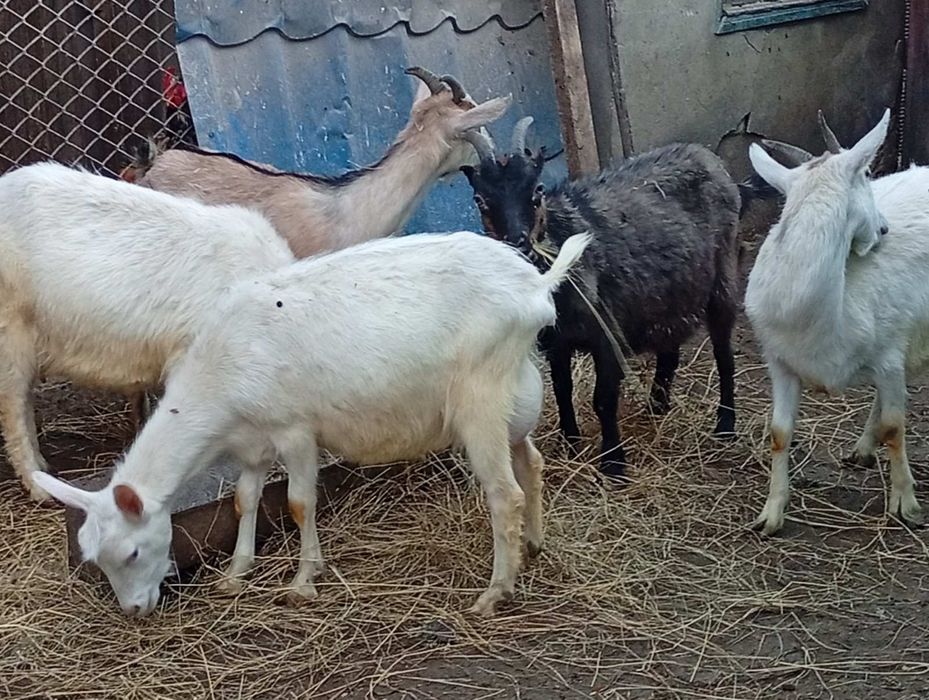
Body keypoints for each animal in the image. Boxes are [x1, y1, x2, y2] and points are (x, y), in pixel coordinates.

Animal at [35, 231, 591, 617]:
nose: (134, 611)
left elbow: (300, 503)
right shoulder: (252, 442)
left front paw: (303, 582)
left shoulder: (295, 430)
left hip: (481, 399)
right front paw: (236, 572)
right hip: (516, 392)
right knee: (531, 462)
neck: (220, 378)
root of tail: (537, 285)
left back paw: (495, 592)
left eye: (131, 553)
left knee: (504, 493)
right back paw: (532, 545)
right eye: (96, 560)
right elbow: (244, 500)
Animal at [460, 120, 741, 478]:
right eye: (480, 199)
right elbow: (562, 390)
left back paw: (725, 424)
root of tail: (704, 153)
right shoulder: (555, 341)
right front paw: (569, 443)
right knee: (670, 347)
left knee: (723, 352)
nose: (519, 244)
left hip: (723, 276)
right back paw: (656, 405)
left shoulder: (607, 333)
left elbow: (604, 399)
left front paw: (613, 462)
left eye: (536, 191)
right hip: (670, 291)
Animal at [746, 108, 928, 535]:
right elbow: (779, 433)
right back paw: (862, 449)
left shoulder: (890, 357)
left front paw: (904, 503)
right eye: (866, 175)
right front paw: (771, 513)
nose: (884, 229)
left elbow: (896, 427)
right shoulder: (779, 362)